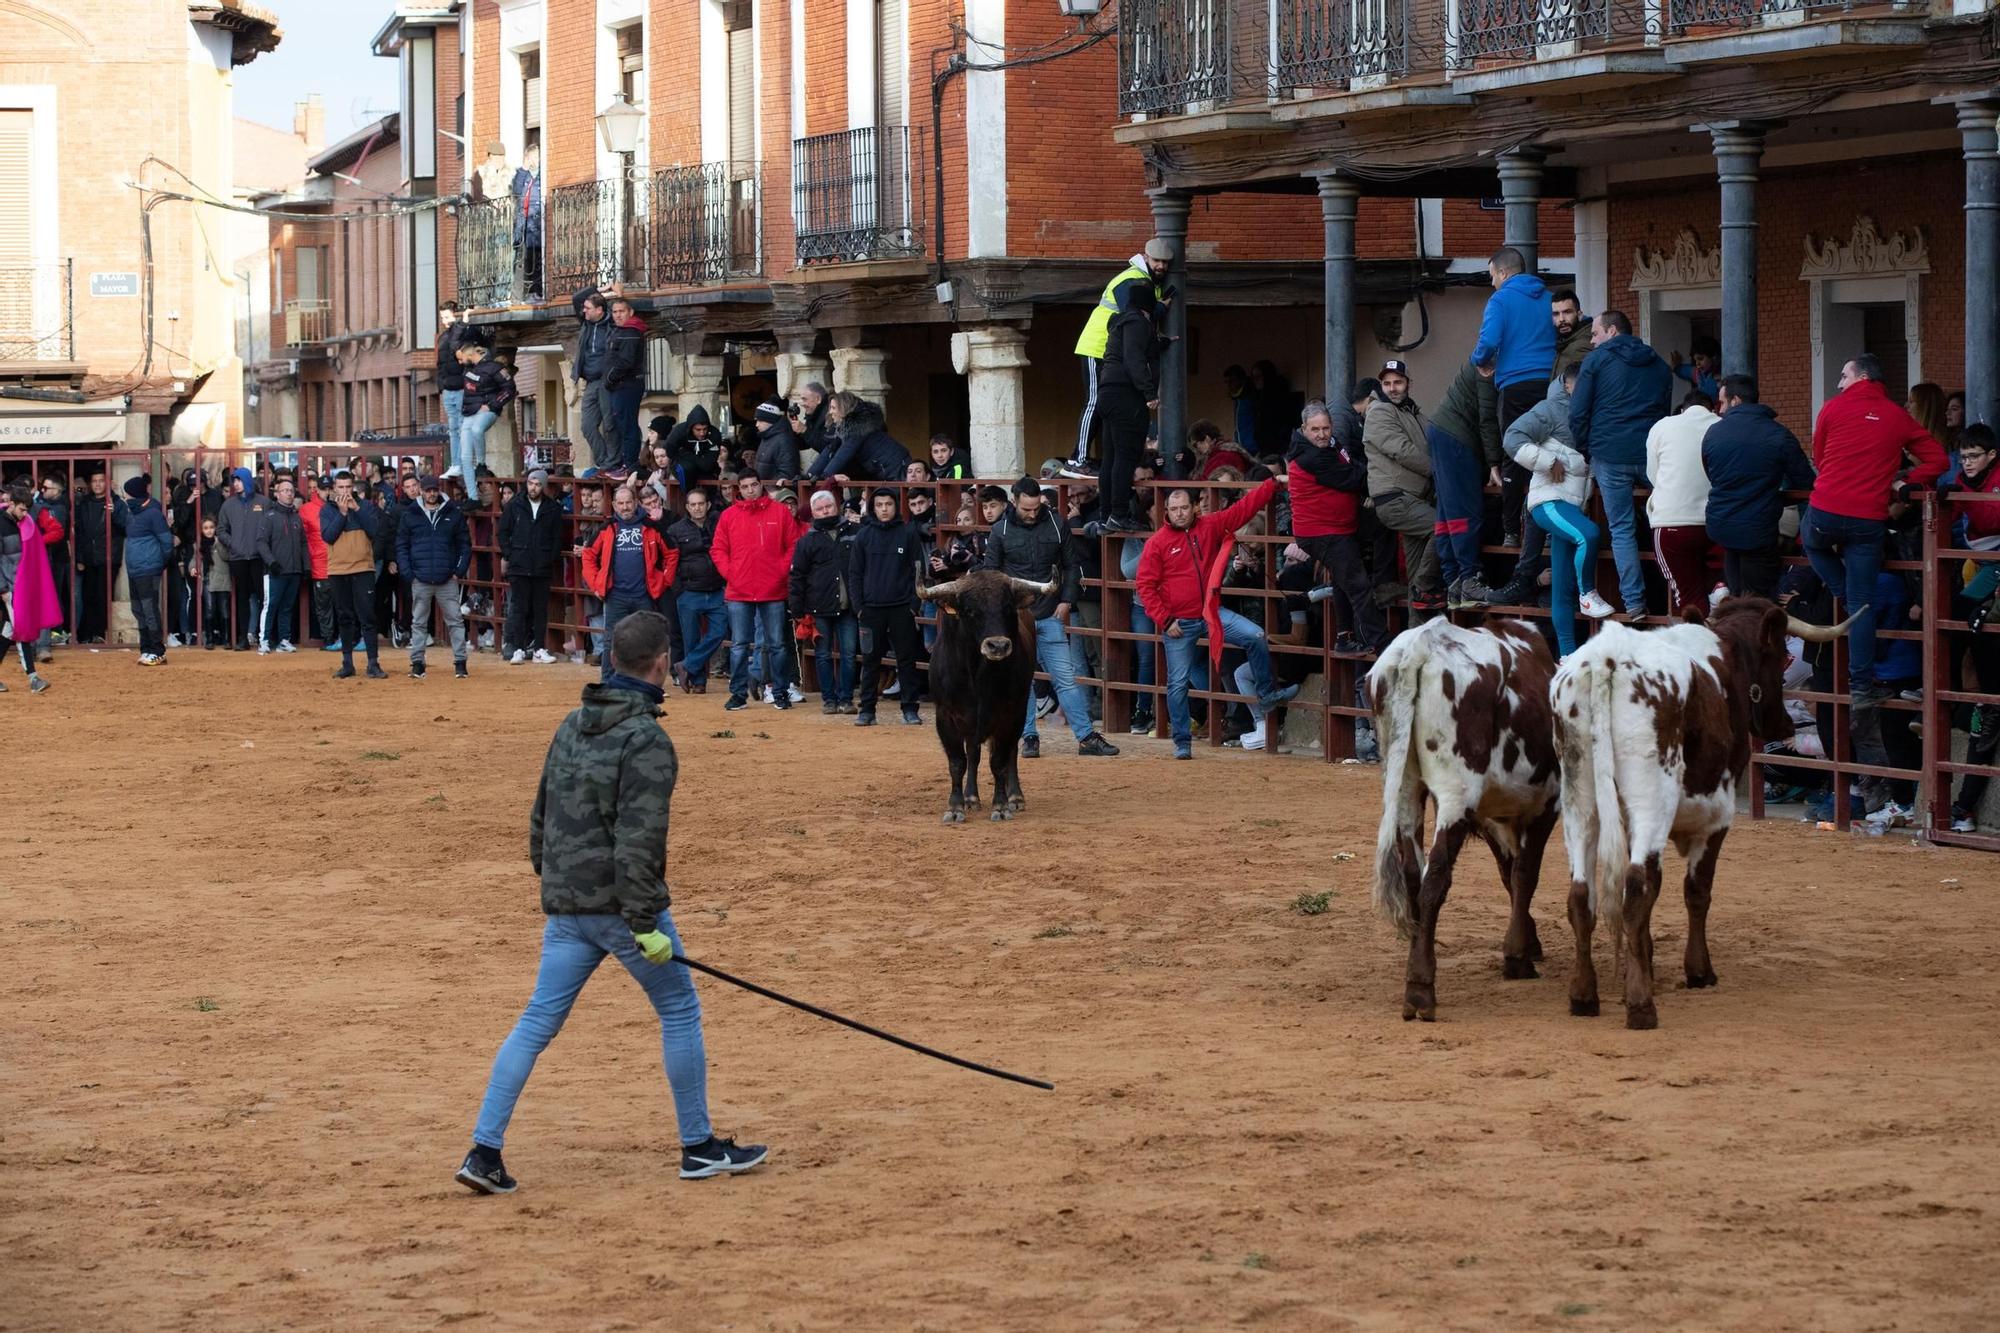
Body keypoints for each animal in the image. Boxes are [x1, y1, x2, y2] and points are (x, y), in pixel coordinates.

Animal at [916, 568, 1056, 820]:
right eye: (970, 610)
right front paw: (955, 807)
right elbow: (957, 762)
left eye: (1007, 607)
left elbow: (999, 761)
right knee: (973, 754)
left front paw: (1000, 806)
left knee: (1010, 753)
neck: (976, 674)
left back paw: (1015, 797)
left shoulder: (1009, 716)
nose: (998, 646)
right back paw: (971, 797)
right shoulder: (946, 717)